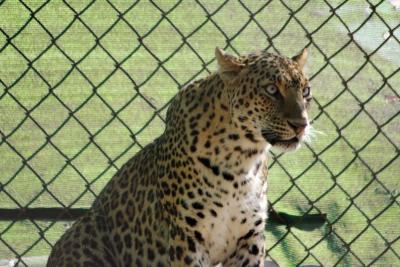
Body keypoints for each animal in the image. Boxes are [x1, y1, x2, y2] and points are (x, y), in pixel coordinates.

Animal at [47, 47, 312, 266]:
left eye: (306, 92)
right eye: (271, 90)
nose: (301, 125)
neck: (243, 159)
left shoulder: (250, 238)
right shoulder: (188, 239)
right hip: (84, 232)